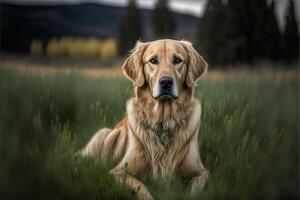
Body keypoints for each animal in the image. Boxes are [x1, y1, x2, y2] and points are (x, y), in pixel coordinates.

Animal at [81, 39, 210, 200]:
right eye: (153, 61)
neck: (163, 121)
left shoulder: (201, 172)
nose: (166, 82)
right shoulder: (117, 172)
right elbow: (140, 185)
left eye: (177, 60)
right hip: (104, 134)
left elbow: (195, 190)